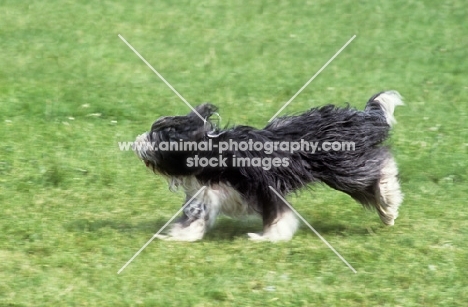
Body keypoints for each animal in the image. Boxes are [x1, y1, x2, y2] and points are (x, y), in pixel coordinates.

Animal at [133, 91, 404, 243]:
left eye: (158, 137)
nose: (136, 142)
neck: (213, 151)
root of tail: (356, 118)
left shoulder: (265, 186)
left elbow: (280, 216)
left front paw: (267, 238)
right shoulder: (207, 194)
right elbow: (196, 220)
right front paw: (176, 236)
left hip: (343, 166)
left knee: (382, 166)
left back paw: (388, 202)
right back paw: (387, 213)